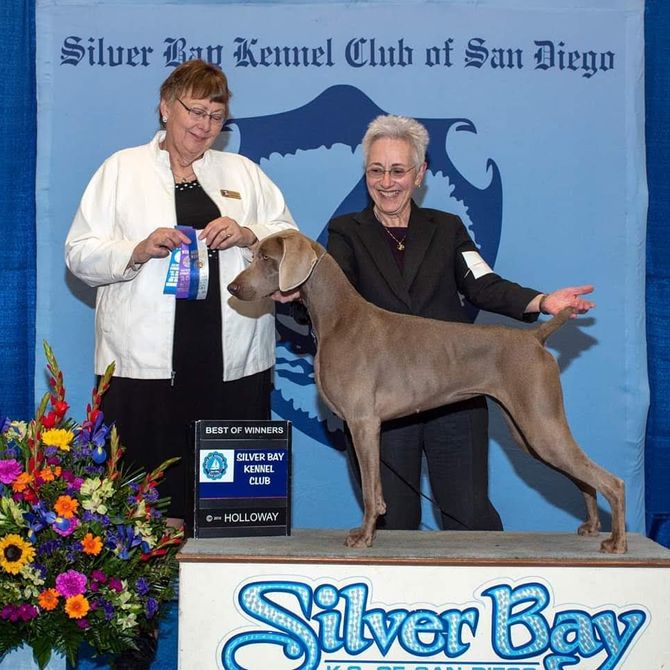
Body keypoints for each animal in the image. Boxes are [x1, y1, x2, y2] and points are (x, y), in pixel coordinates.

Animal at [228, 231, 628, 556]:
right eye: (255, 255)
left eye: (266, 258)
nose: (232, 288)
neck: (339, 317)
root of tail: (534, 337)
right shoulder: (365, 426)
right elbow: (377, 489)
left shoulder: (363, 422)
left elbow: (371, 489)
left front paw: (365, 536)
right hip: (528, 430)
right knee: (585, 478)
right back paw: (593, 526)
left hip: (540, 422)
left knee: (613, 481)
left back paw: (617, 541)